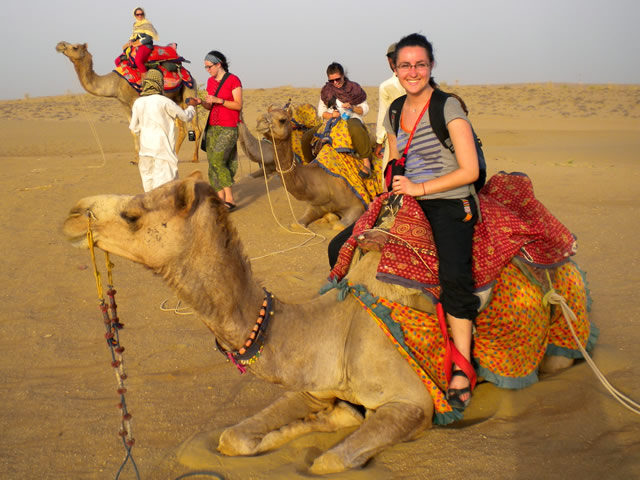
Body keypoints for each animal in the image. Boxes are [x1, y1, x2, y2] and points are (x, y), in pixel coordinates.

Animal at [56, 41, 201, 163]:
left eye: (74, 47)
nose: (60, 45)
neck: (115, 82)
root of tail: (189, 74)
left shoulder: (134, 100)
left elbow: (139, 129)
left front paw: (140, 159)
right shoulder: (123, 103)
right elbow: (132, 130)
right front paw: (135, 159)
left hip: (189, 90)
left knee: (196, 127)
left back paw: (194, 158)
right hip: (176, 99)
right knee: (182, 129)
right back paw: (174, 155)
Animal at [62, 172, 582, 474]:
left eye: (132, 214)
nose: (71, 213)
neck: (335, 331)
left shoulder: (412, 403)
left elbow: (329, 462)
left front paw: (337, 425)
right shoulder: (311, 385)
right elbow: (233, 437)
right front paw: (330, 417)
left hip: (558, 340)